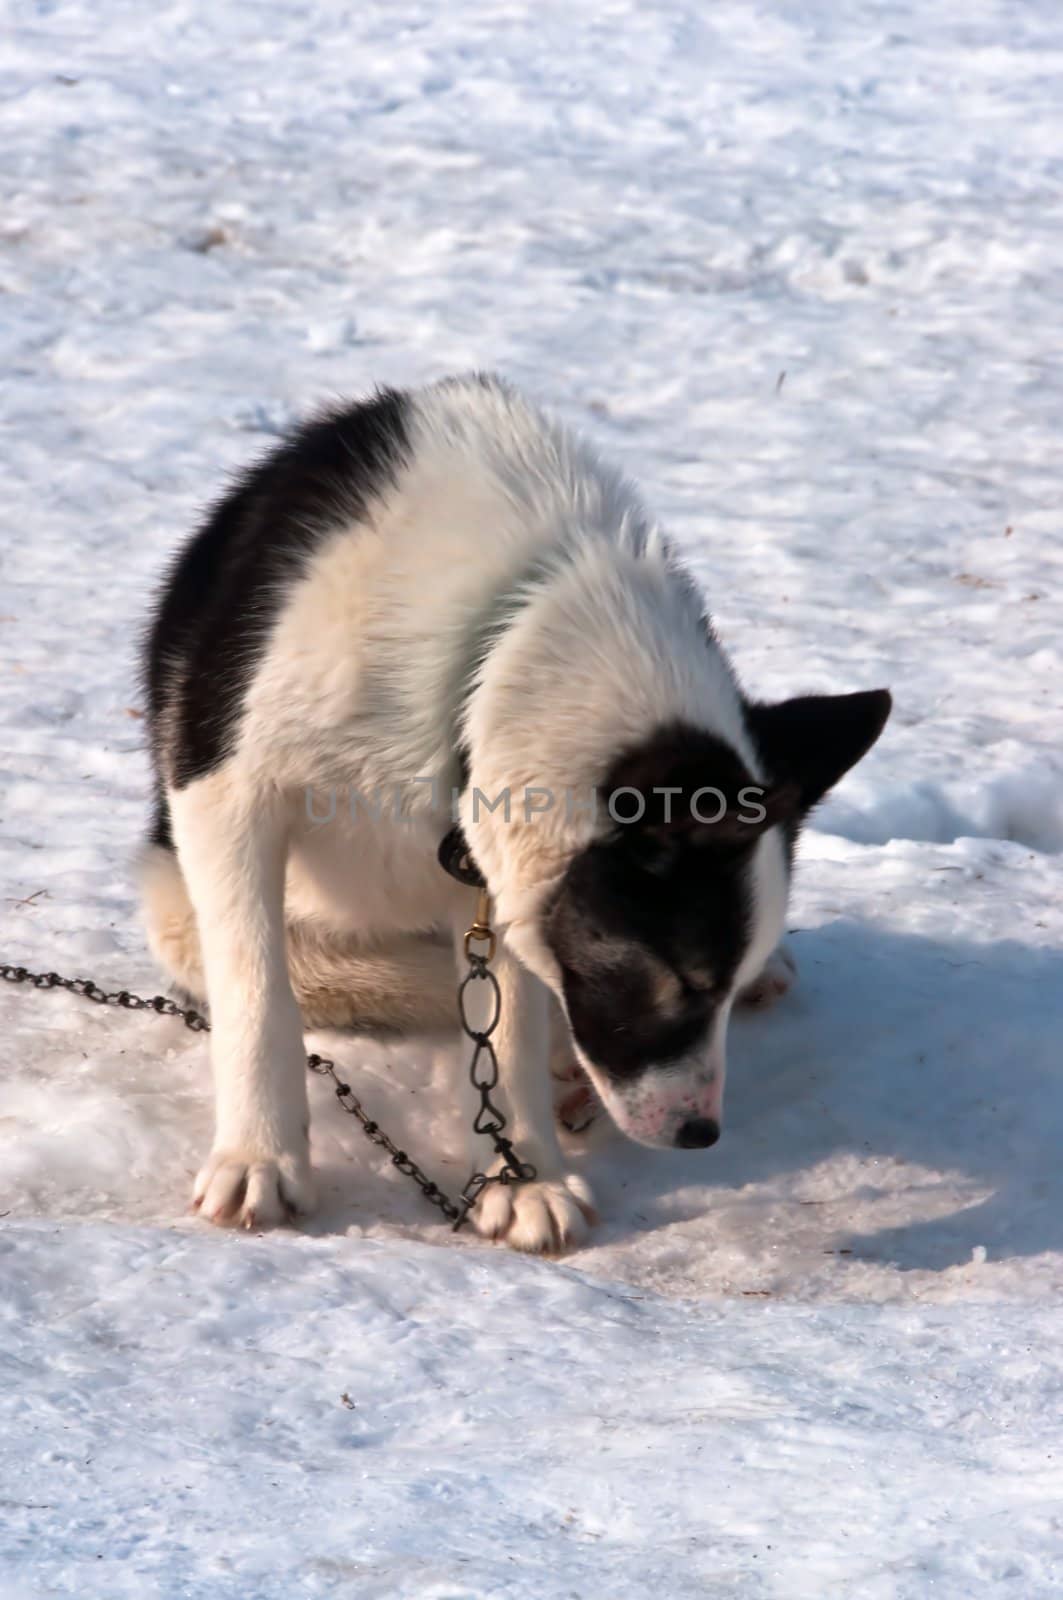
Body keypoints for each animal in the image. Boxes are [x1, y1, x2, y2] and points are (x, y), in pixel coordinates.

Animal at [140, 371, 890, 1248]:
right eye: (682, 981)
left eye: (714, 987)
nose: (698, 1133)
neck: (496, 648)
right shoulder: (228, 797)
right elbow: (260, 997)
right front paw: (260, 1157)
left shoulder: (505, 879)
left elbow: (509, 1025)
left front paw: (521, 1173)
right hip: (180, 904)